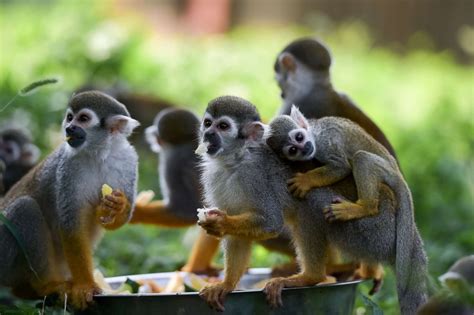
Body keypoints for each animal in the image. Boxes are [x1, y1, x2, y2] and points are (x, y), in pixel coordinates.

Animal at [0, 91, 140, 312]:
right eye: (69, 117)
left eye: (83, 118)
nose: (69, 128)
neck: (99, 154)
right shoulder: (68, 167)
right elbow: (71, 225)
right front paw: (85, 286)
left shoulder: (128, 161)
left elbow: (118, 219)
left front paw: (117, 207)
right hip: (4, 256)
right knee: (25, 208)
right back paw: (47, 285)